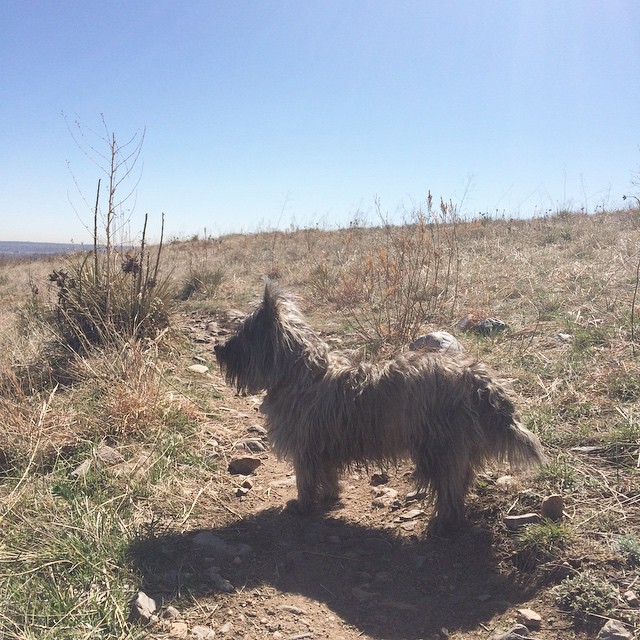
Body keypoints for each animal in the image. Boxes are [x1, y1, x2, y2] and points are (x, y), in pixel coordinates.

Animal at [215, 282, 544, 532]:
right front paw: (330, 496)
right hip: (455, 448)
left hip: (438, 447)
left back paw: (442, 523)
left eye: (243, 335)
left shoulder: (305, 447)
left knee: (449, 486)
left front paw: (303, 505)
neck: (298, 371)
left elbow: (306, 478)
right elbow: (328, 475)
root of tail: (476, 377)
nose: (218, 348)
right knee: (459, 481)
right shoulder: (323, 446)